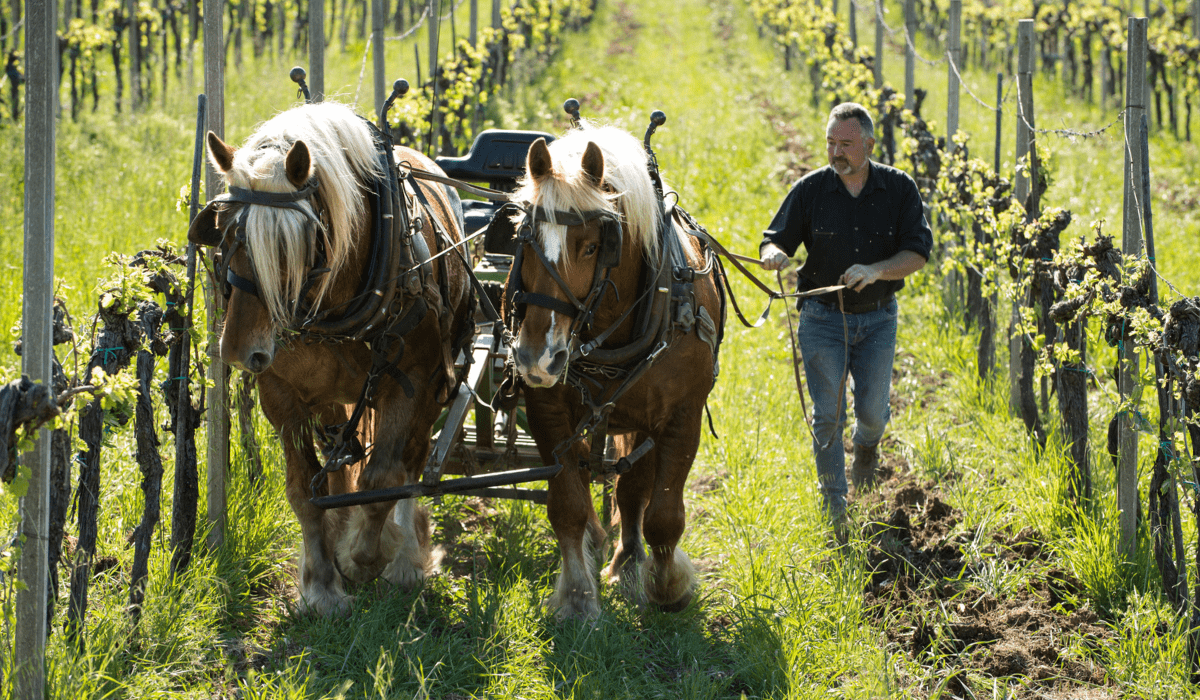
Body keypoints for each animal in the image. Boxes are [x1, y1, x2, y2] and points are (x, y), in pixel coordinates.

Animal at [186, 101, 468, 614]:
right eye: (226, 234)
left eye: (290, 243)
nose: (237, 351)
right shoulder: (281, 393)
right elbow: (304, 490)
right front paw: (321, 584)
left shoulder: (413, 380)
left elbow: (383, 479)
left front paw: (364, 557)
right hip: (335, 398)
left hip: (432, 386)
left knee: (412, 463)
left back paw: (404, 556)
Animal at [504, 124, 724, 619]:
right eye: (525, 241)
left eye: (591, 246)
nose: (536, 359)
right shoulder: (547, 410)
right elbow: (567, 505)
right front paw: (577, 597)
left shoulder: (682, 417)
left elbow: (663, 515)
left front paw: (668, 586)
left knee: (633, 489)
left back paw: (628, 560)